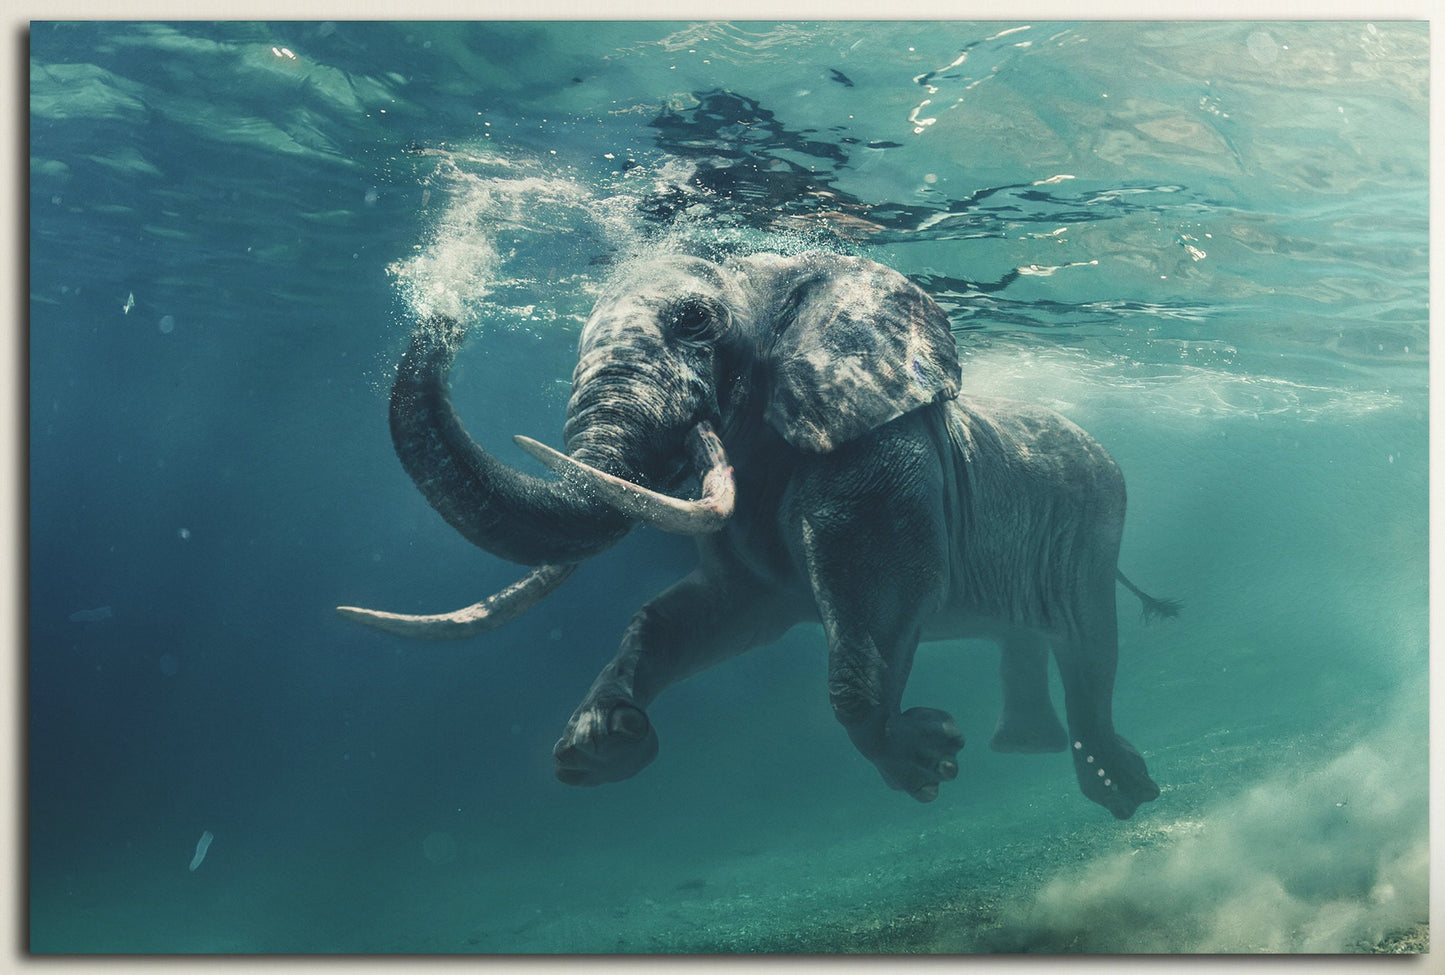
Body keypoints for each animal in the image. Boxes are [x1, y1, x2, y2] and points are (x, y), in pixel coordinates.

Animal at [339, 250, 1173, 819]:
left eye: (693, 322)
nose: (447, 312)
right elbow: (700, 613)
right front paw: (599, 747)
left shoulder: (877, 455)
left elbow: (879, 595)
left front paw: (927, 759)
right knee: (1027, 636)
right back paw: (1028, 750)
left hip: (1096, 524)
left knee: (1088, 645)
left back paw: (1121, 790)